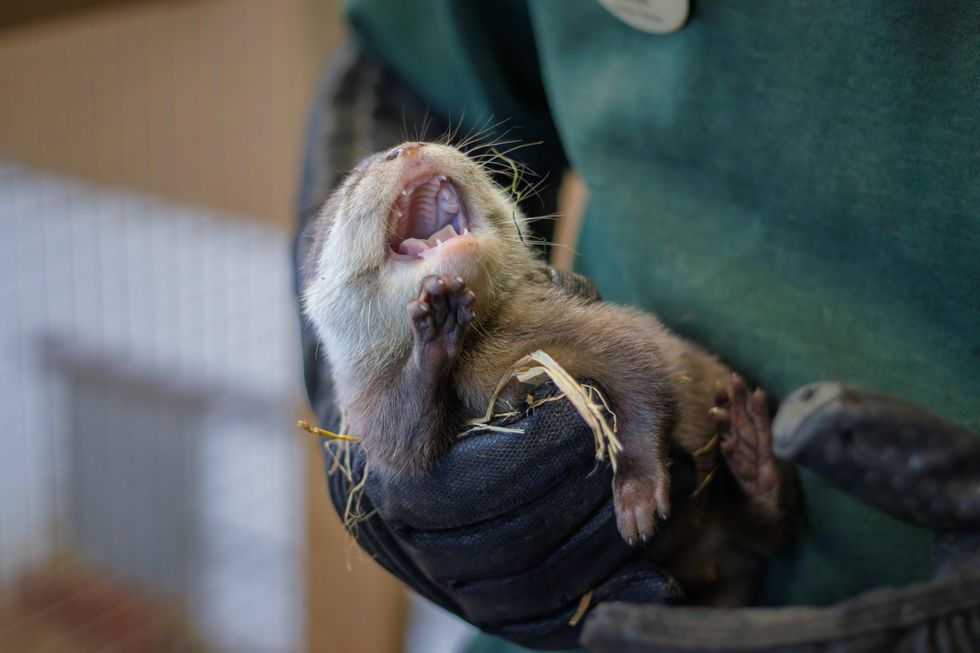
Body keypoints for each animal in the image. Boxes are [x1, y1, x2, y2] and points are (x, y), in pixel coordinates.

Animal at [301, 141, 797, 603]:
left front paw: (637, 493)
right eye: (354, 181)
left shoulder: (595, 330)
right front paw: (435, 327)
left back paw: (753, 448)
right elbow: (408, 452)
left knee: (773, 526)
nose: (406, 148)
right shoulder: (377, 419)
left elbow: (643, 372)